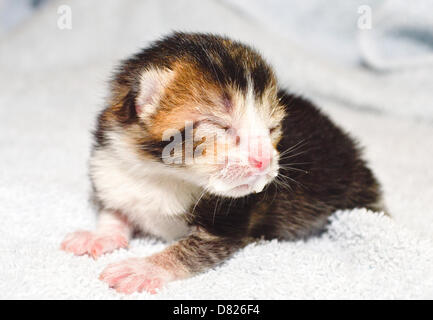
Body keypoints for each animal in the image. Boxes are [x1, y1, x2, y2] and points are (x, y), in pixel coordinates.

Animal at [60, 32, 382, 296]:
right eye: (221, 126)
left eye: (272, 129)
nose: (264, 160)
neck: (160, 174)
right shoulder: (110, 168)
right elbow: (113, 211)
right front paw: (99, 236)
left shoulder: (226, 225)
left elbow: (187, 250)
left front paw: (144, 268)